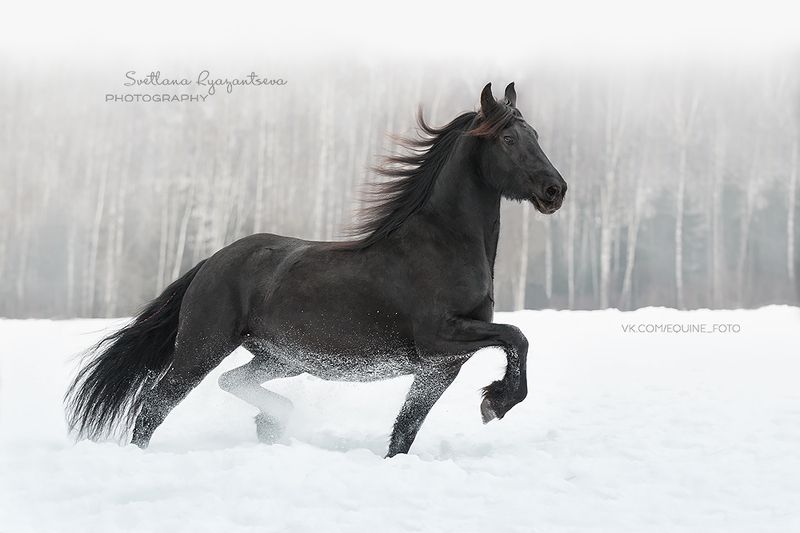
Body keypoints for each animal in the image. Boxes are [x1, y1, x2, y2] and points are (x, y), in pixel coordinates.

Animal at [65, 82, 567, 457]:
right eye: (508, 139)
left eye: (538, 136)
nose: (555, 190)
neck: (442, 246)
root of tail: (212, 261)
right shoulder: (439, 338)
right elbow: (517, 336)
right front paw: (496, 403)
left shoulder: (443, 365)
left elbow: (405, 431)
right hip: (201, 348)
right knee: (154, 404)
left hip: (280, 358)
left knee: (233, 382)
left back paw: (272, 422)